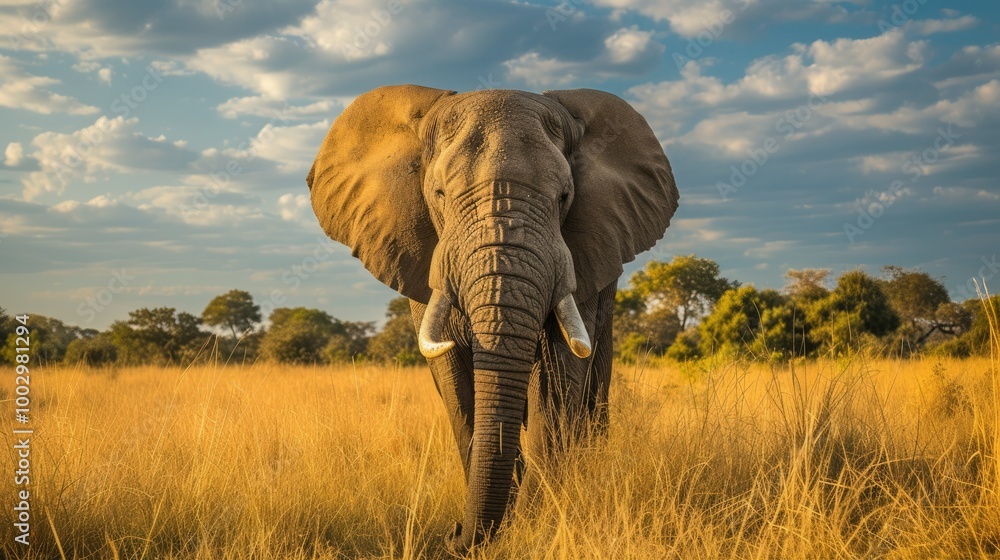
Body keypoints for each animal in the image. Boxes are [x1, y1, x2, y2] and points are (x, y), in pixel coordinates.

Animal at [307, 85, 678, 553]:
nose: (453, 534)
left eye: (564, 197)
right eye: (440, 195)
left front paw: (534, 525)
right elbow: (456, 385)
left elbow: (557, 378)